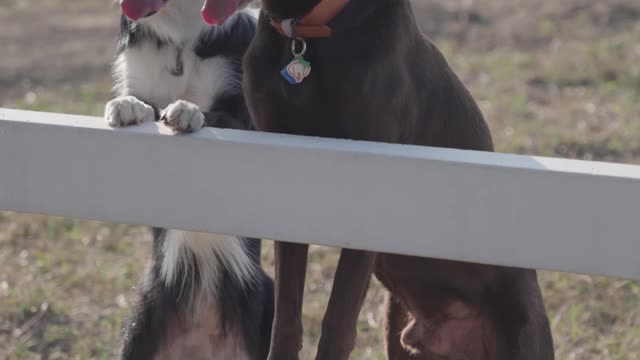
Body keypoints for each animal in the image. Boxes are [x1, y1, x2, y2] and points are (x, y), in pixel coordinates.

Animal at [104, 1, 272, 358]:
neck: (179, 41)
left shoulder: (243, 117)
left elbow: (217, 116)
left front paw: (189, 111)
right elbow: (143, 103)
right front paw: (128, 106)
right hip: (138, 324)